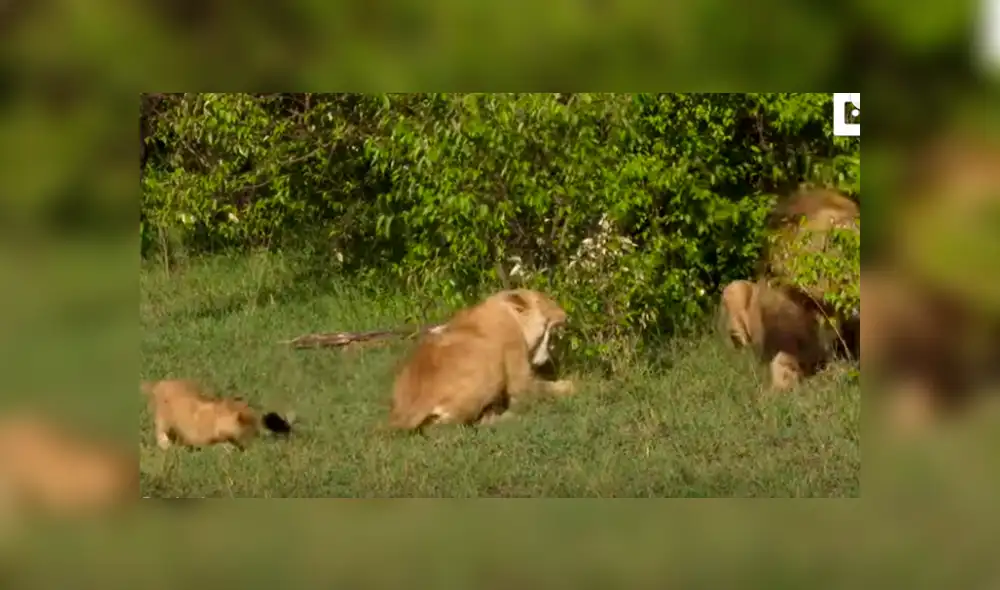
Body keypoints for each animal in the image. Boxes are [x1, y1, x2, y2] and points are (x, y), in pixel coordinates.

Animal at [141, 379, 293, 450]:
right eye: (250, 429)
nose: (255, 445)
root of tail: (160, 384)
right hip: (162, 417)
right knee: (160, 430)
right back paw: (165, 444)